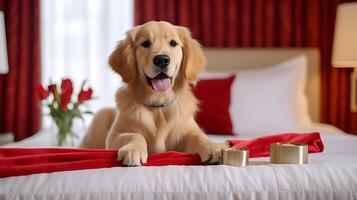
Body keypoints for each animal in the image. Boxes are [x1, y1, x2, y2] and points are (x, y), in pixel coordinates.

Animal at [79, 21, 227, 166]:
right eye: (145, 43)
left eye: (173, 43)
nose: (162, 59)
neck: (158, 106)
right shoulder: (114, 135)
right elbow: (134, 135)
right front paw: (133, 150)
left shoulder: (188, 130)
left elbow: (199, 136)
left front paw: (212, 146)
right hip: (101, 115)